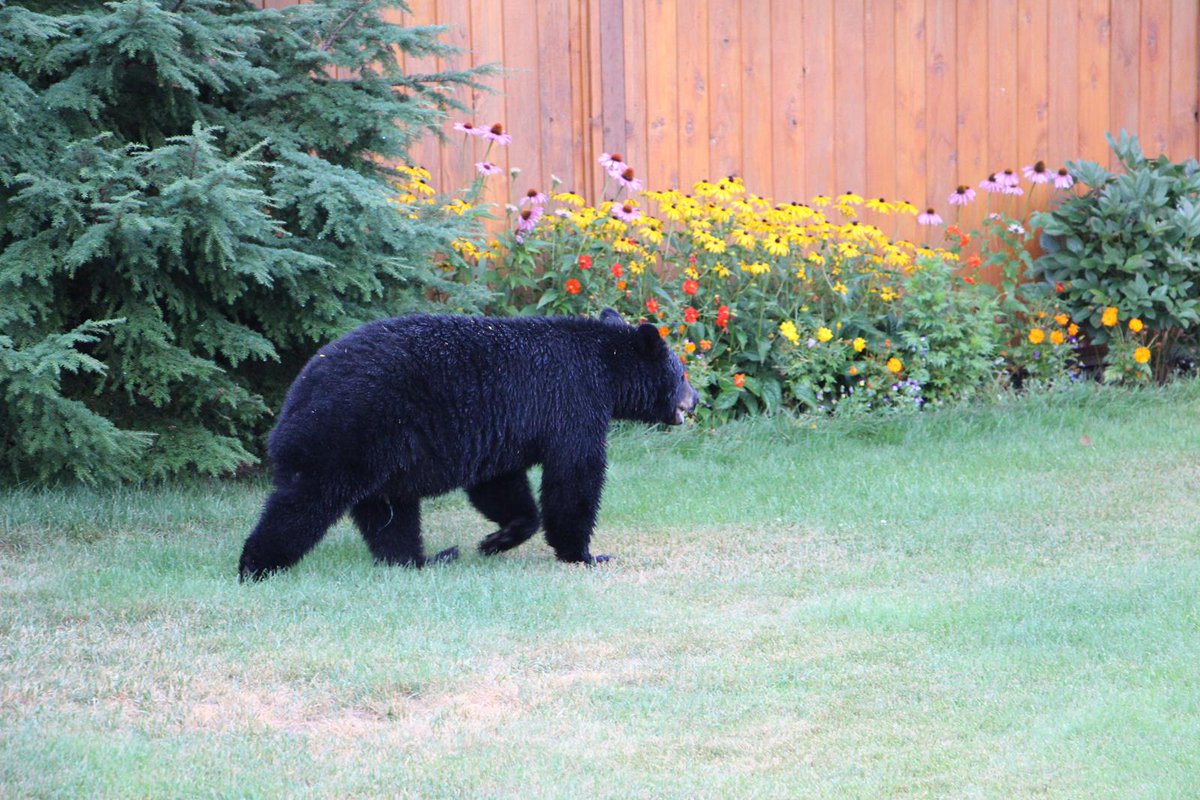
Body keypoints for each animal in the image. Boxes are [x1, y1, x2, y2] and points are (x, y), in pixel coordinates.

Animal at [237, 308, 698, 580]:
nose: (695, 400)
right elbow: (574, 476)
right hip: (344, 432)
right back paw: (257, 565)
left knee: (389, 514)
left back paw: (423, 560)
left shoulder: (502, 431)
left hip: (380, 450)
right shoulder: (572, 402)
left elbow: (500, 483)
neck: (603, 365)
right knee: (306, 502)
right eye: (682, 373)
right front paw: (585, 554)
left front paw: (499, 539)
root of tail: (294, 399)